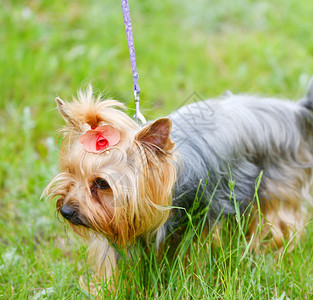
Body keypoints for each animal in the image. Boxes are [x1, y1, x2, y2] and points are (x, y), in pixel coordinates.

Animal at [44, 83, 312, 288]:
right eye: (71, 172)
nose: (66, 210)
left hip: (276, 189)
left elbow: (190, 257)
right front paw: (108, 289)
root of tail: (293, 113)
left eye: (101, 183)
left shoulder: (198, 223)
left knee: (279, 225)